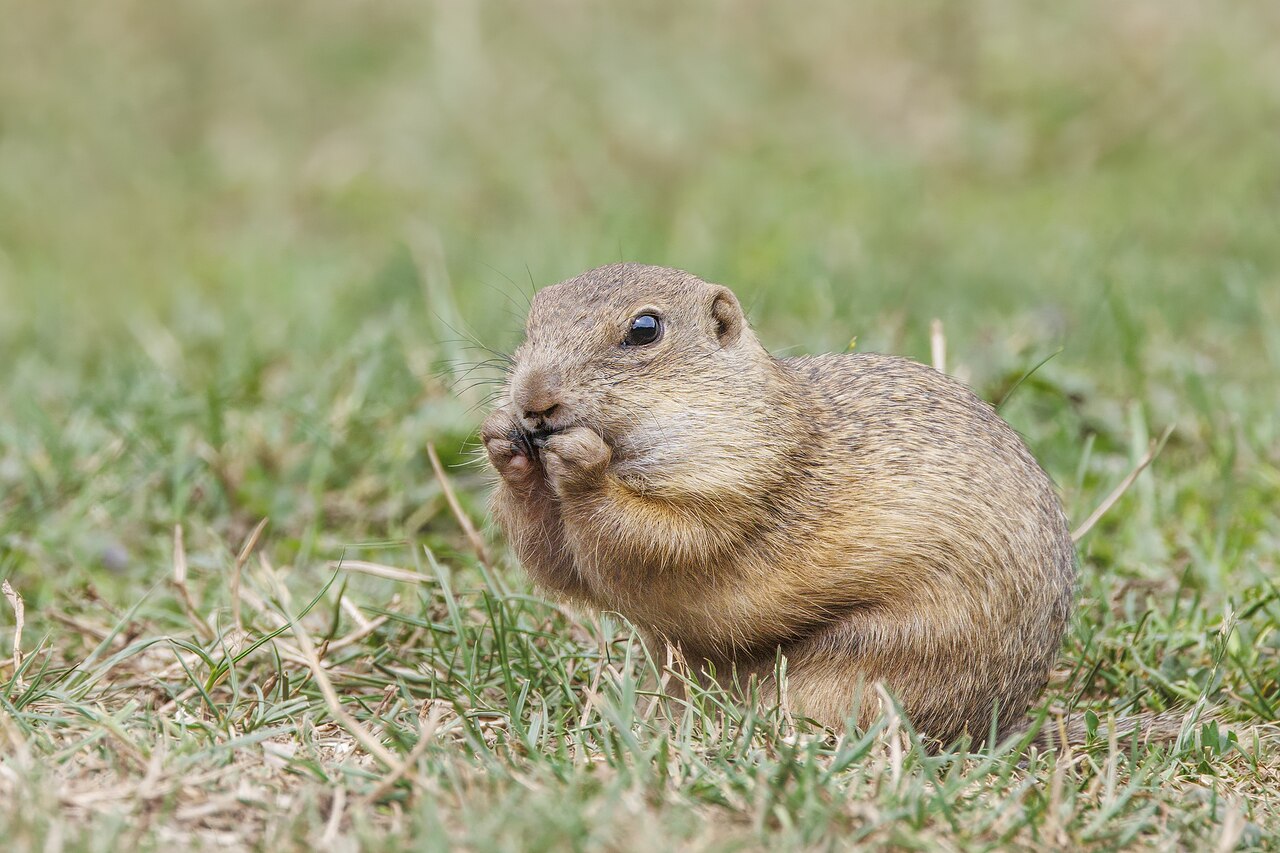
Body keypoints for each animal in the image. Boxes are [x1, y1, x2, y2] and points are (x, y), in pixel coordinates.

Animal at [481, 263, 1077, 746]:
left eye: (645, 329)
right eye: (533, 319)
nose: (533, 400)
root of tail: (995, 723)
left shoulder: (737, 484)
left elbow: (658, 542)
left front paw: (581, 461)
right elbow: (559, 563)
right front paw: (504, 441)